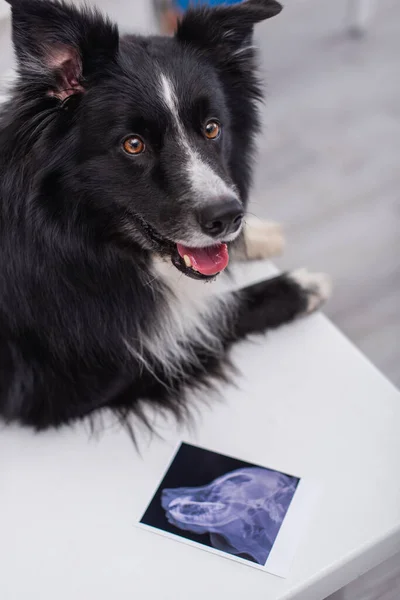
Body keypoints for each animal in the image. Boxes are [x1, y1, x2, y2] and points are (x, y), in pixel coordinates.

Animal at [0, 0, 332, 432]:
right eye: (133, 144)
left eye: (211, 128)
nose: (227, 217)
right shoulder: (70, 382)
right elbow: (208, 316)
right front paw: (300, 286)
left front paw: (256, 236)